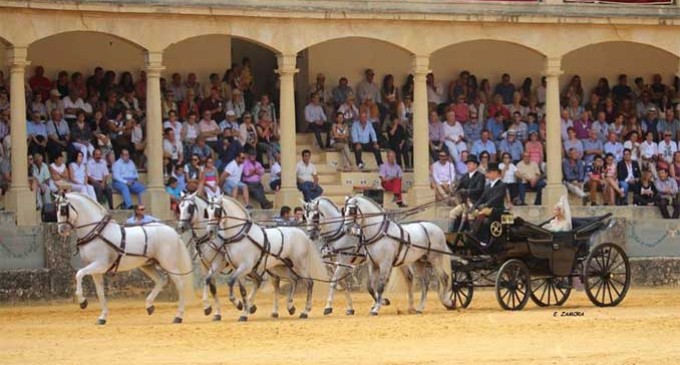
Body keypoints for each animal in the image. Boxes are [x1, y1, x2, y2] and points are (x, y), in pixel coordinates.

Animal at [56, 192, 195, 322]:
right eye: (55, 208)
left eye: (63, 209)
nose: (61, 230)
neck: (97, 233)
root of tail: (173, 232)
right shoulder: (95, 270)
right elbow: (100, 292)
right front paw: (102, 317)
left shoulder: (100, 264)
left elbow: (79, 274)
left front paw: (82, 302)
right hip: (147, 265)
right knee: (161, 280)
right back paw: (149, 306)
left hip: (169, 265)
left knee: (180, 285)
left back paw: (178, 316)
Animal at [177, 192, 251, 320]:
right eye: (179, 207)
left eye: (190, 208)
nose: (181, 227)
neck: (207, 238)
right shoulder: (204, 265)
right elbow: (212, 287)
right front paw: (217, 313)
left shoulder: (217, 264)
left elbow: (207, 280)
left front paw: (207, 307)